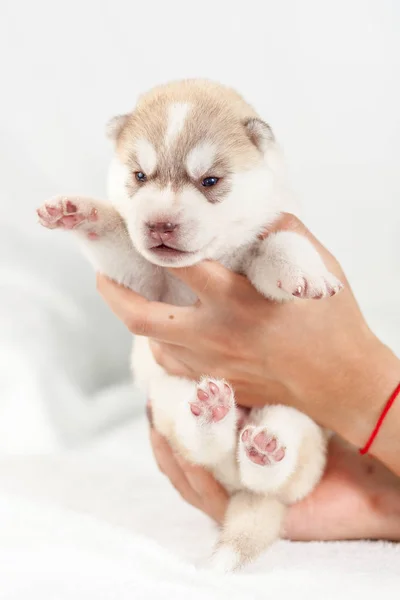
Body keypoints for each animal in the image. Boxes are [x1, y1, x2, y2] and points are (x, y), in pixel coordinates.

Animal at [37, 79, 342, 572]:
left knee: (276, 473)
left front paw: (305, 270)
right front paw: (79, 212)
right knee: (204, 445)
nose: (160, 223)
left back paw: (263, 449)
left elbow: (279, 243)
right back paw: (214, 414)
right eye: (140, 176)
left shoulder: (260, 248)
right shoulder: (149, 282)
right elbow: (120, 239)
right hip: (170, 398)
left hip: (301, 420)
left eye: (210, 181)